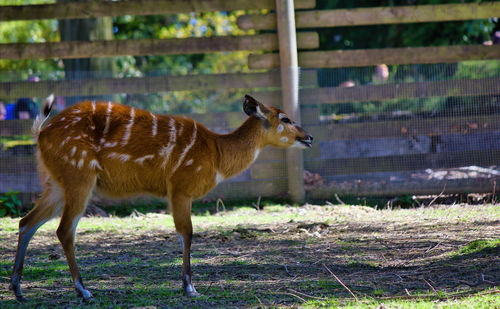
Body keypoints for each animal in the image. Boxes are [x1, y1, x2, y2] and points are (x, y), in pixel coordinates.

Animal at [8, 92, 312, 300]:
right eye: (285, 118)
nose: (308, 137)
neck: (216, 153)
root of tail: (40, 132)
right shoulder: (180, 187)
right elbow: (186, 232)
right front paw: (190, 287)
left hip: (57, 183)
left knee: (26, 222)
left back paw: (18, 289)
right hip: (79, 177)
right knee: (63, 229)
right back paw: (84, 290)